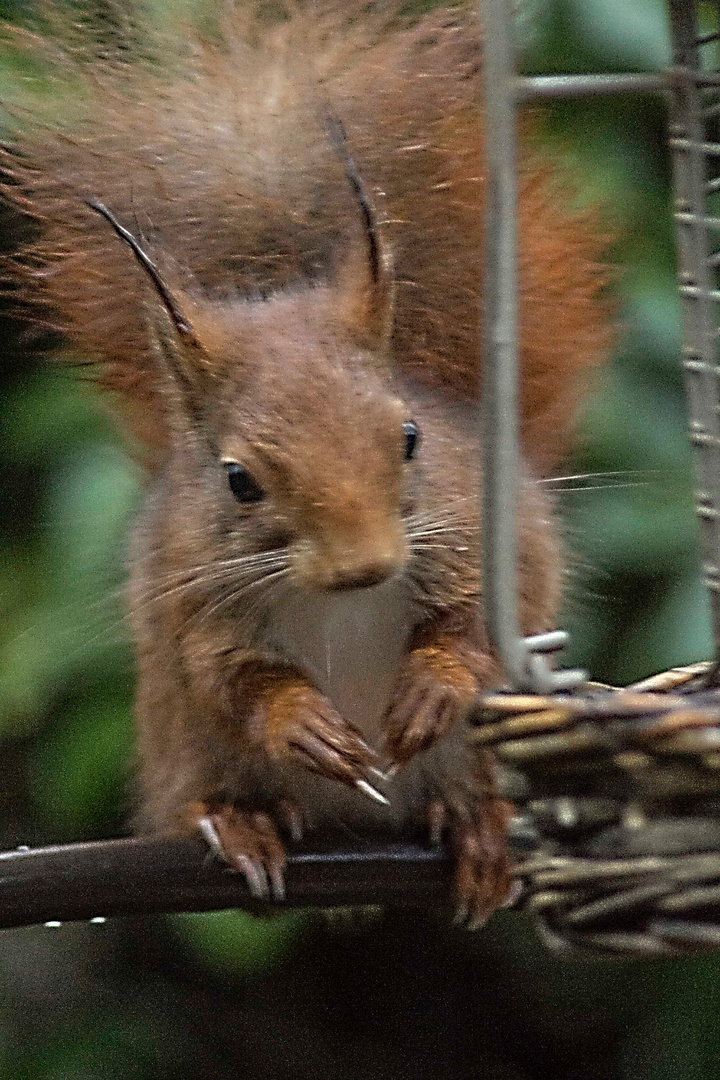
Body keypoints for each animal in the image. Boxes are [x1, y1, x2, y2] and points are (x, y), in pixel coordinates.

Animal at [2, 2, 613, 928]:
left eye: (410, 436)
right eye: (238, 480)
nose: (365, 565)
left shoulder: (483, 537)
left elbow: (479, 629)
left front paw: (434, 685)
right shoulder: (193, 596)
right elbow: (232, 680)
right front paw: (302, 723)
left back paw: (483, 828)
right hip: (181, 747)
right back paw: (241, 820)